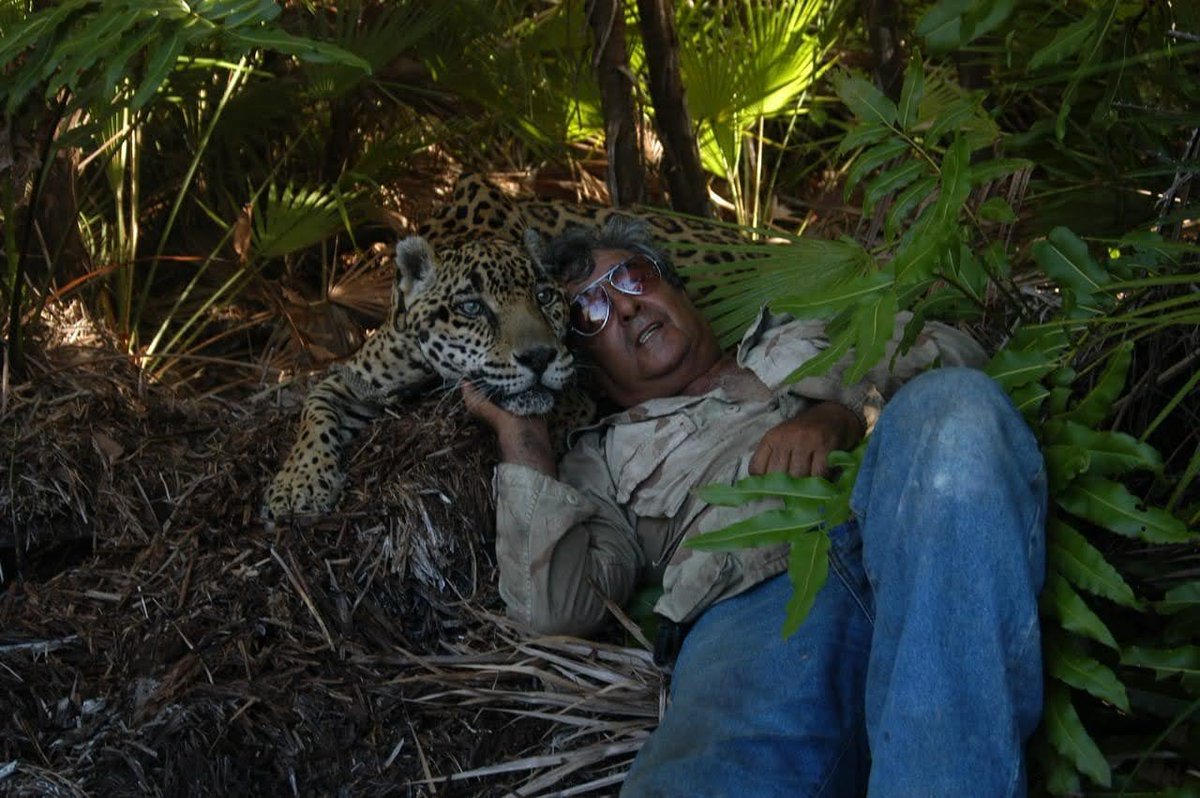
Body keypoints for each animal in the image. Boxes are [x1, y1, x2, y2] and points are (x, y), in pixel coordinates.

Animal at [263, 174, 749, 520]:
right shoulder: (358, 378)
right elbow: (314, 410)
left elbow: (565, 406)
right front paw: (298, 484)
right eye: (472, 307)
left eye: (545, 296)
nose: (538, 357)